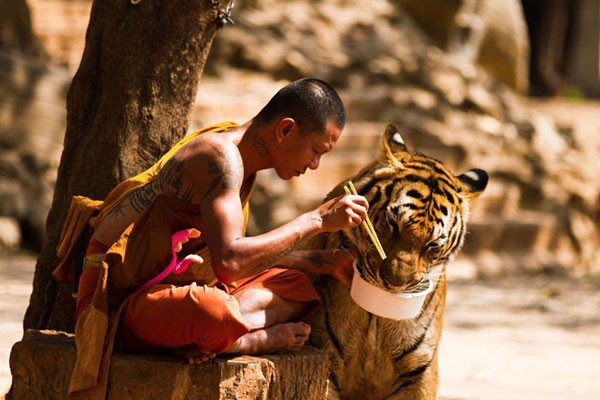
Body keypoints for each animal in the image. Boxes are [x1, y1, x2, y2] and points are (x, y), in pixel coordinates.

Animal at [304, 123, 488, 398]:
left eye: (433, 246)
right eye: (392, 223)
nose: (394, 283)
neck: (377, 318)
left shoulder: (419, 370)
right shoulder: (326, 356)